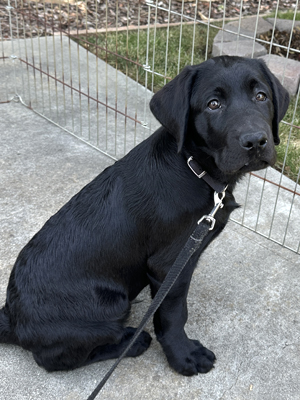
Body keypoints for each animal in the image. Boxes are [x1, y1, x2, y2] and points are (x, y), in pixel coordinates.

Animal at [0, 55, 290, 376]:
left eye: (261, 96)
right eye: (213, 104)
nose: (256, 141)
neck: (193, 167)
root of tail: (11, 318)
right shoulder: (168, 265)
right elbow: (173, 314)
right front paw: (183, 356)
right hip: (111, 303)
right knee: (54, 360)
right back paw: (130, 342)